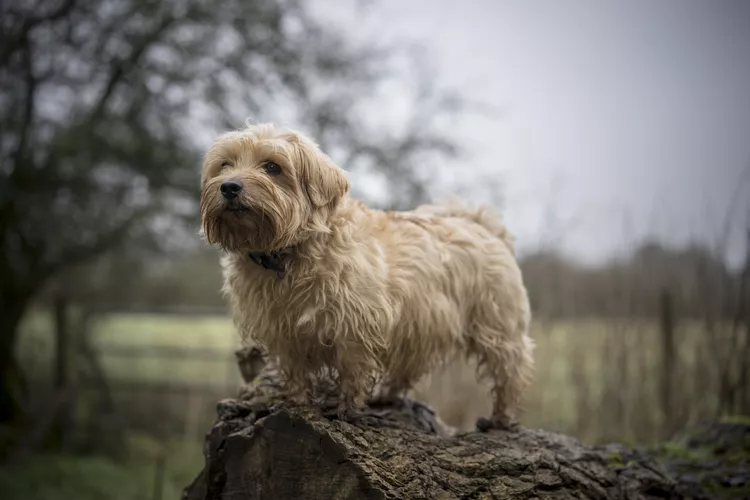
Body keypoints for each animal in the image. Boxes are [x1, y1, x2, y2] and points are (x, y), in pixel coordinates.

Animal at [201, 122, 536, 430]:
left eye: (272, 166)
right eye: (225, 164)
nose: (229, 186)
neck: (289, 252)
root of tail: (481, 225)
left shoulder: (355, 324)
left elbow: (352, 371)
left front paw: (346, 410)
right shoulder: (282, 332)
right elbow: (295, 373)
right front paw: (298, 403)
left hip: (496, 325)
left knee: (512, 369)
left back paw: (502, 417)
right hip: (420, 325)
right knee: (410, 366)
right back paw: (385, 395)